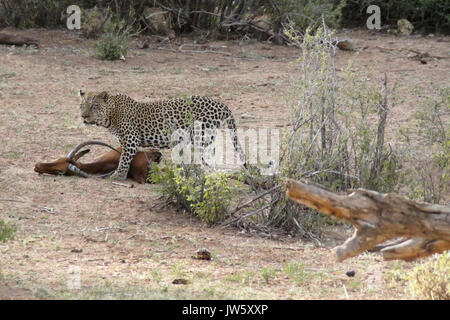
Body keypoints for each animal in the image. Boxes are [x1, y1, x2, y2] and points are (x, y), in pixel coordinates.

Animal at [77, 90, 246, 180]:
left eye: (94, 106)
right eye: (82, 105)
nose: (84, 116)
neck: (111, 114)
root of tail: (222, 104)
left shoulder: (131, 139)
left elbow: (124, 159)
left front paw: (118, 175)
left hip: (201, 135)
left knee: (206, 159)